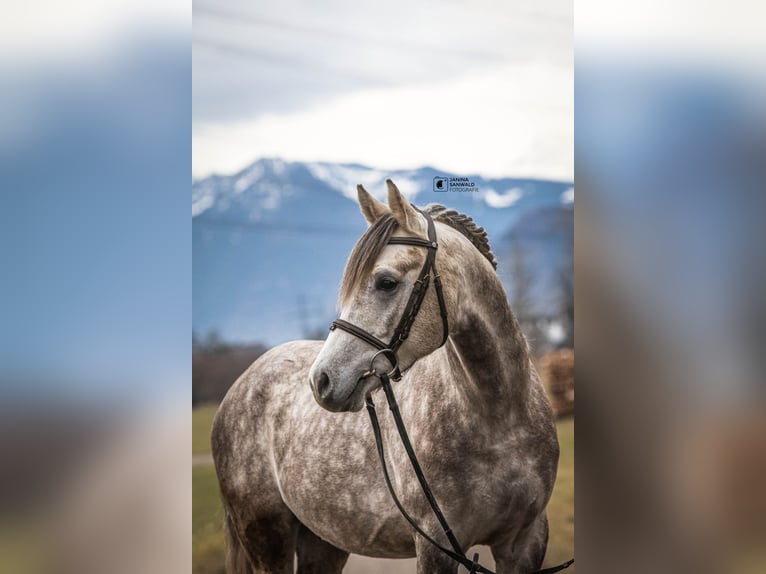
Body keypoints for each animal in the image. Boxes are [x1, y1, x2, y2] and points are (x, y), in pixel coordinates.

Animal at [213, 181, 560, 574]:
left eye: (386, 282)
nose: (322, 381)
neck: (499, 416)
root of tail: (241, 384)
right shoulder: (438, 546)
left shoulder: (525, 541)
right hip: (267, 539)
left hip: (324, 540)